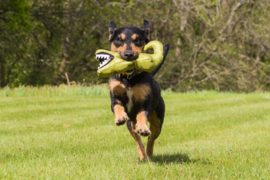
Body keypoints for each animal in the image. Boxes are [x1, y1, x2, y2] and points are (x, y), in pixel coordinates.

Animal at [107, 19, 169, 160]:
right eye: (119, 39)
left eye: (138, 40)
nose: (129, 54)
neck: (129, 78)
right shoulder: (115, 96)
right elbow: (117, 106)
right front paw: (120, 118)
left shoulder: (144, 101)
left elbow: (142, 114)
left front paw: (143, 128)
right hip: (130, 124)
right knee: (137, 140)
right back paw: (143, 155)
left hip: (158, 120)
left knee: (151, 137)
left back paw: (149, 153)